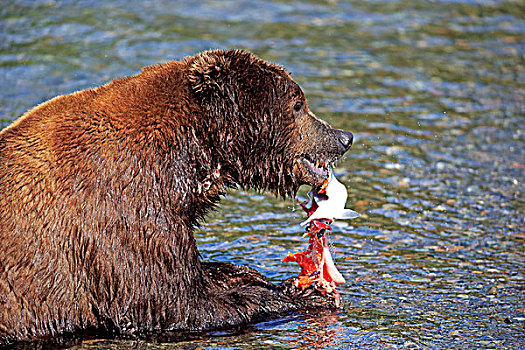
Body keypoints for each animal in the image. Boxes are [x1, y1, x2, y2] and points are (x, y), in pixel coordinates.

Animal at [0, 49, 354, 344]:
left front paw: (246, 274)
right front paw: (301, 294)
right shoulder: (126, 208)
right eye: (298, 104)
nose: (344, 137)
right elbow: (170, 303)